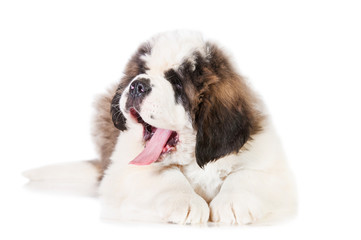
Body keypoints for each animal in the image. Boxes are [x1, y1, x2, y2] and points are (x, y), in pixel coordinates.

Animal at [24, 30, 296, 225]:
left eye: (176, 83)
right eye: (142, 71)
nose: (137, 85)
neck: (194, 159)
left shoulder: (274, 169)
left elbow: (248, 174)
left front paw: (232, 203)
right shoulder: (124, 171)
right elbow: (166, 175)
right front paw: (186, 202)